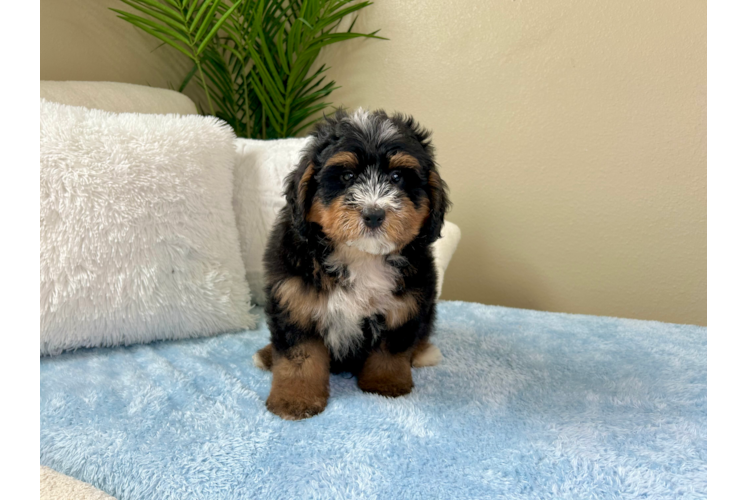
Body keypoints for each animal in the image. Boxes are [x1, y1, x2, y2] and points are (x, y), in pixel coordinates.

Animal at [251, 109, 450, 422]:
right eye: (347, 176)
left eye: (396, 177)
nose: (374, 214)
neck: (360, 256)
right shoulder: (294, 301)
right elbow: (298, 356)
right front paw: (294, 399)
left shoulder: (405, 304)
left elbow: (391, 349)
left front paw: (386, 384)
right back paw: (268, 354)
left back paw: (423, 352)